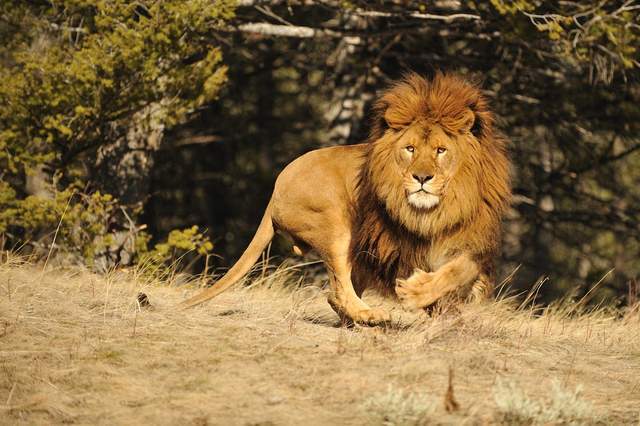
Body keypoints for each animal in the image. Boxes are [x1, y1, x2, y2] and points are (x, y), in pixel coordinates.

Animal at [180, 72, 510, 326]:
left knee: (336, 294)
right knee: (338, 287)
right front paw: (414, 294)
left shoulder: (472, 242)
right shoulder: (397, 246)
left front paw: (433, 302)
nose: (422, 178)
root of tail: (275, 190)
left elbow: (457, 270)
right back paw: (370, 315)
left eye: (441, 150)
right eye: (411, 149)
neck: (436, 211)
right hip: (336, 224)